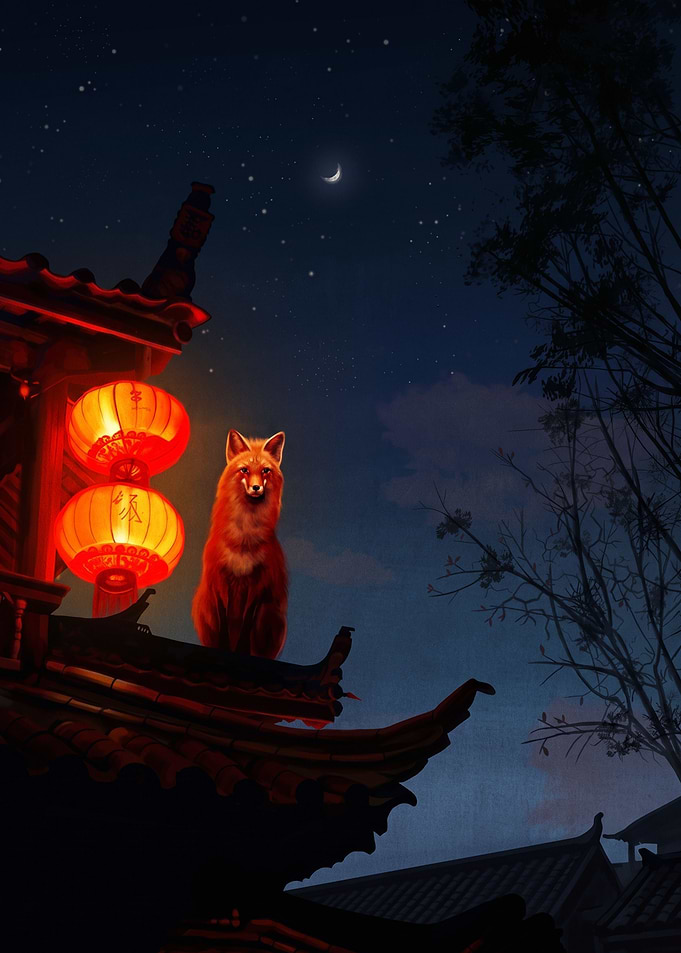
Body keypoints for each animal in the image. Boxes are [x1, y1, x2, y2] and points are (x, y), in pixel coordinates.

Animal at [191, 429, 288, 658]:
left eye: (265, 471)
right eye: (244, 470)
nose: (256, 487)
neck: (243, 541)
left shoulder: (258, 585)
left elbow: (246, 623)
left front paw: (241, 651)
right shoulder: (219, 580)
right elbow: (224, 622)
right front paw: (224, 648)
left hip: (270, 613)